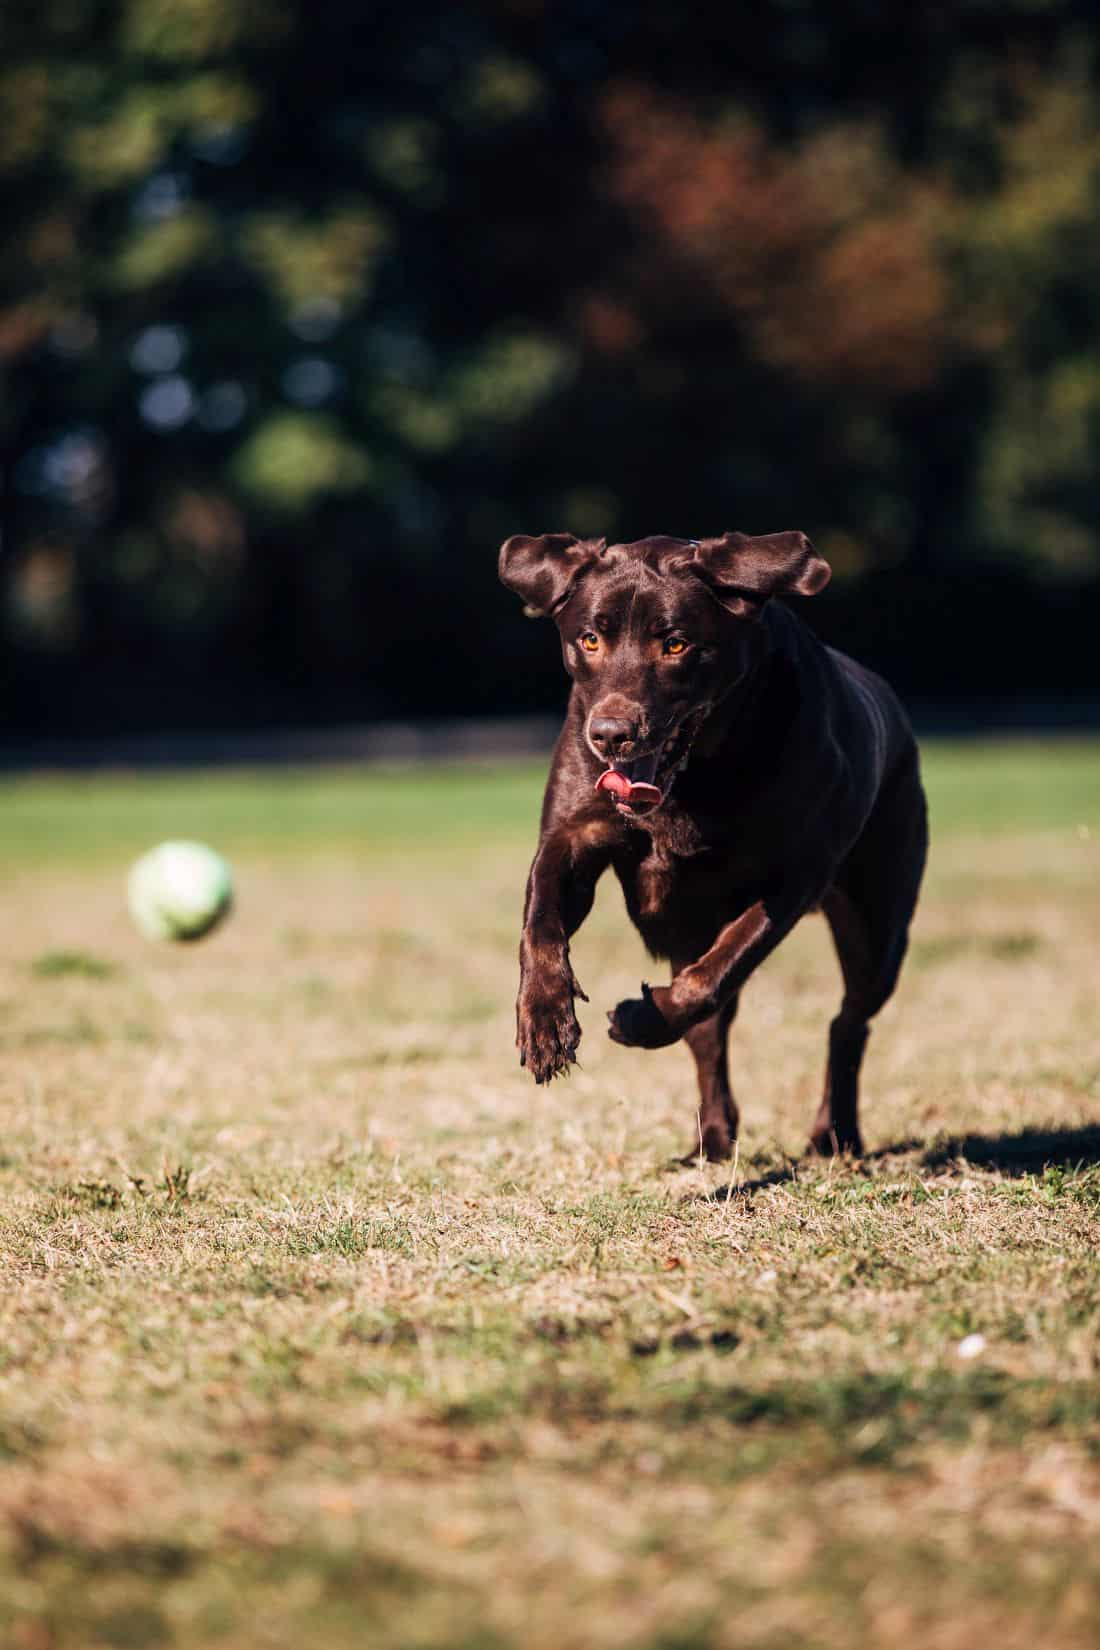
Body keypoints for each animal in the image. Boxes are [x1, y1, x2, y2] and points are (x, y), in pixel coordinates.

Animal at [501, 531, 930, 1161]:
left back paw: (835, 1133)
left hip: (878, 925)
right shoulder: (573, 836)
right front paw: (545, 1021)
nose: (610, 735)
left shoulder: (795, 876)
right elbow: (541, 922)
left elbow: (714, 976)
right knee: (710, 1037)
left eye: (676, 643)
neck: (694, 778)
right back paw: (715, 1136)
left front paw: (639, 1019)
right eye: (590, 639)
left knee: (846, 1022)